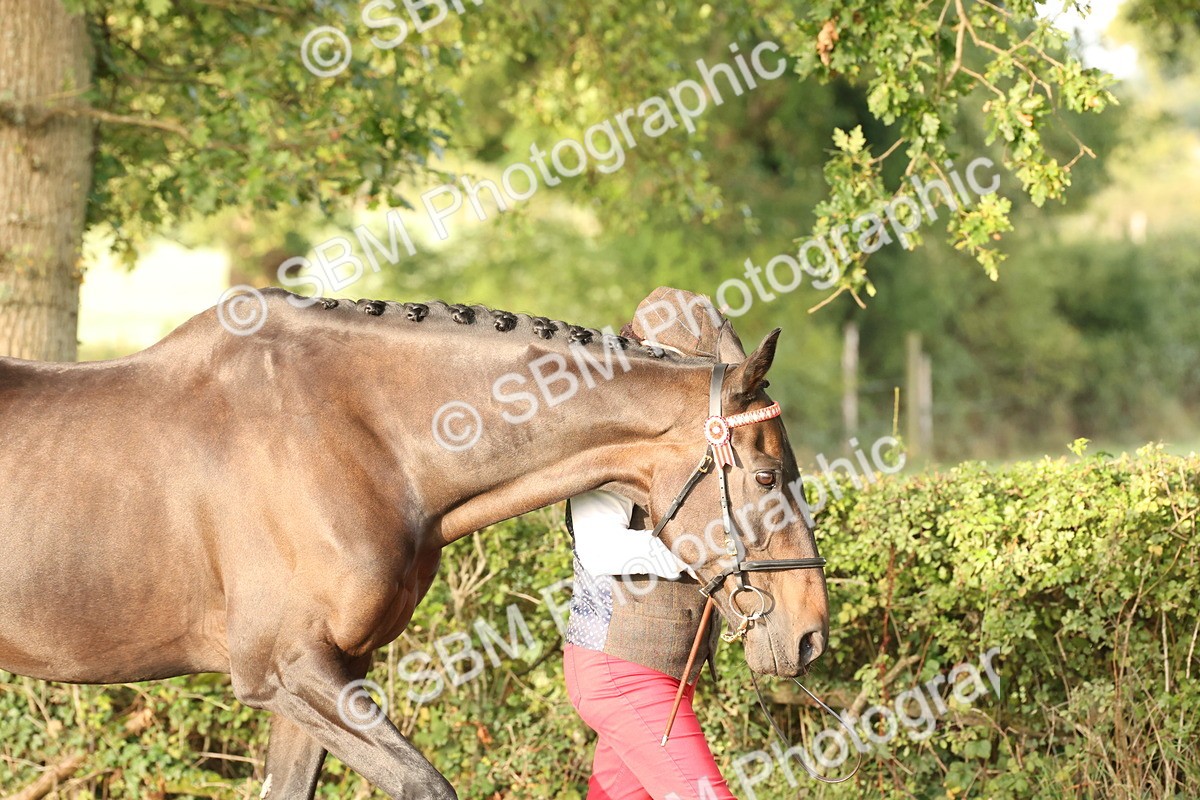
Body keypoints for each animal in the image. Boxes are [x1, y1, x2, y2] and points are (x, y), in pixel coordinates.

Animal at [0, 287, 829, 799]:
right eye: (765, 474)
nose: (810, 633)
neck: (350, 432)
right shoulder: (286, 670)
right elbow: (425, 784)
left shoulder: (334, 672)